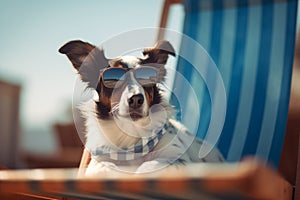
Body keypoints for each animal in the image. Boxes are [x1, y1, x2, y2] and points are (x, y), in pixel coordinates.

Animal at [58, 39, 224, 174]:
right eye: (113, 79)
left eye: (147, 77)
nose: (136, 99)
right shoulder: (98, 161)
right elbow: (103, 167)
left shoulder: (178, 159)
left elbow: (149, 165)